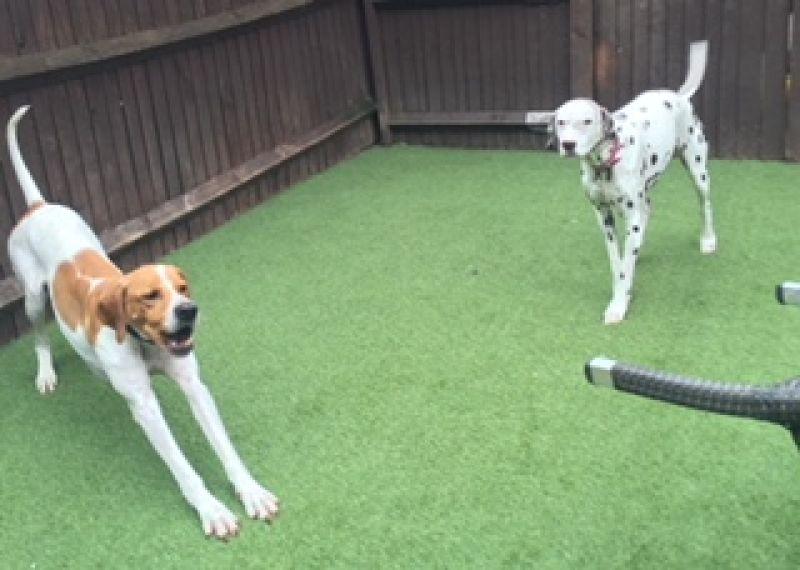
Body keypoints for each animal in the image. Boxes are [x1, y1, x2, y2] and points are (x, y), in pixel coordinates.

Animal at [6, 105, 280, 536]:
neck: (142, 343)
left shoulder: (195, 386)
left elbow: (225, 447)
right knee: (40, 338)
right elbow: (182, 467)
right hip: (33, 298)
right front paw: (212, 510)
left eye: (183, 288)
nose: (189, 310)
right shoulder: (148, 409)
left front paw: (251, 491)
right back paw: (46, 373)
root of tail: (38, 207)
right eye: (150, 296)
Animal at [552, 41, 716, 322]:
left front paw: (619, 304)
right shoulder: (603, 216)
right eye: (561, 122)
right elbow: (617, 262)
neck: (605, 163)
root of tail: (679, 96)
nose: (568, 144)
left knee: (704, 203)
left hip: (698, 171)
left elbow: (625, 265)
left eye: (587, 121)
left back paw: (708, 239)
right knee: (647, 211)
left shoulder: (631, 215)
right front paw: (621, 289)